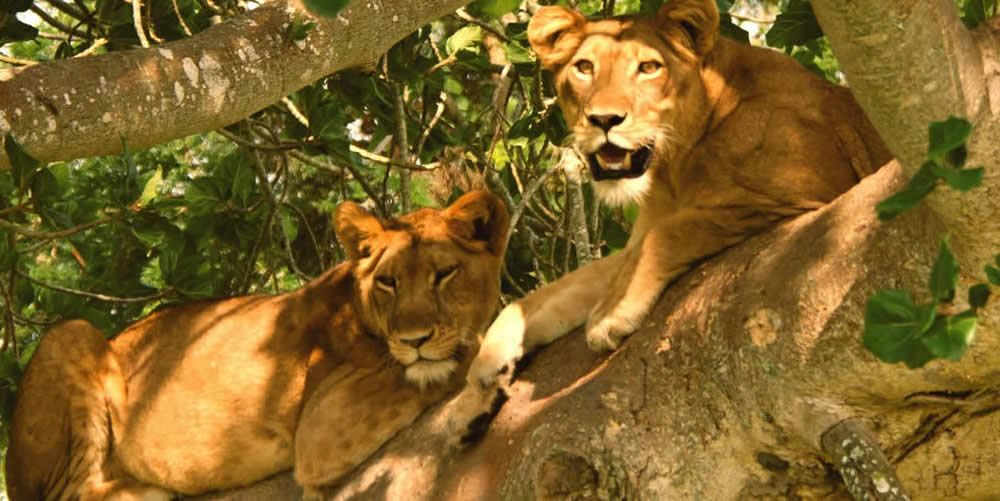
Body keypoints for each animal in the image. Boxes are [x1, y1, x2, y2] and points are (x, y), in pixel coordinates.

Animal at [6, 190, 509, 500]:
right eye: (388, 282)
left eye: (444, 274)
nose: (414, 340)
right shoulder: (324, 425)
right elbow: (453, 362)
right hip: (71, 334)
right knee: (75, 493)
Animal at [445, 0, 892, 440]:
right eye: (584, 67)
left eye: (648, 67)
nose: (604, 120)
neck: (674, 165)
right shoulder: (634, 239)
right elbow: (547, 296)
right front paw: (475, 387)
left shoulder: (805, 194)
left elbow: (668, 233)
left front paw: (612, 314)